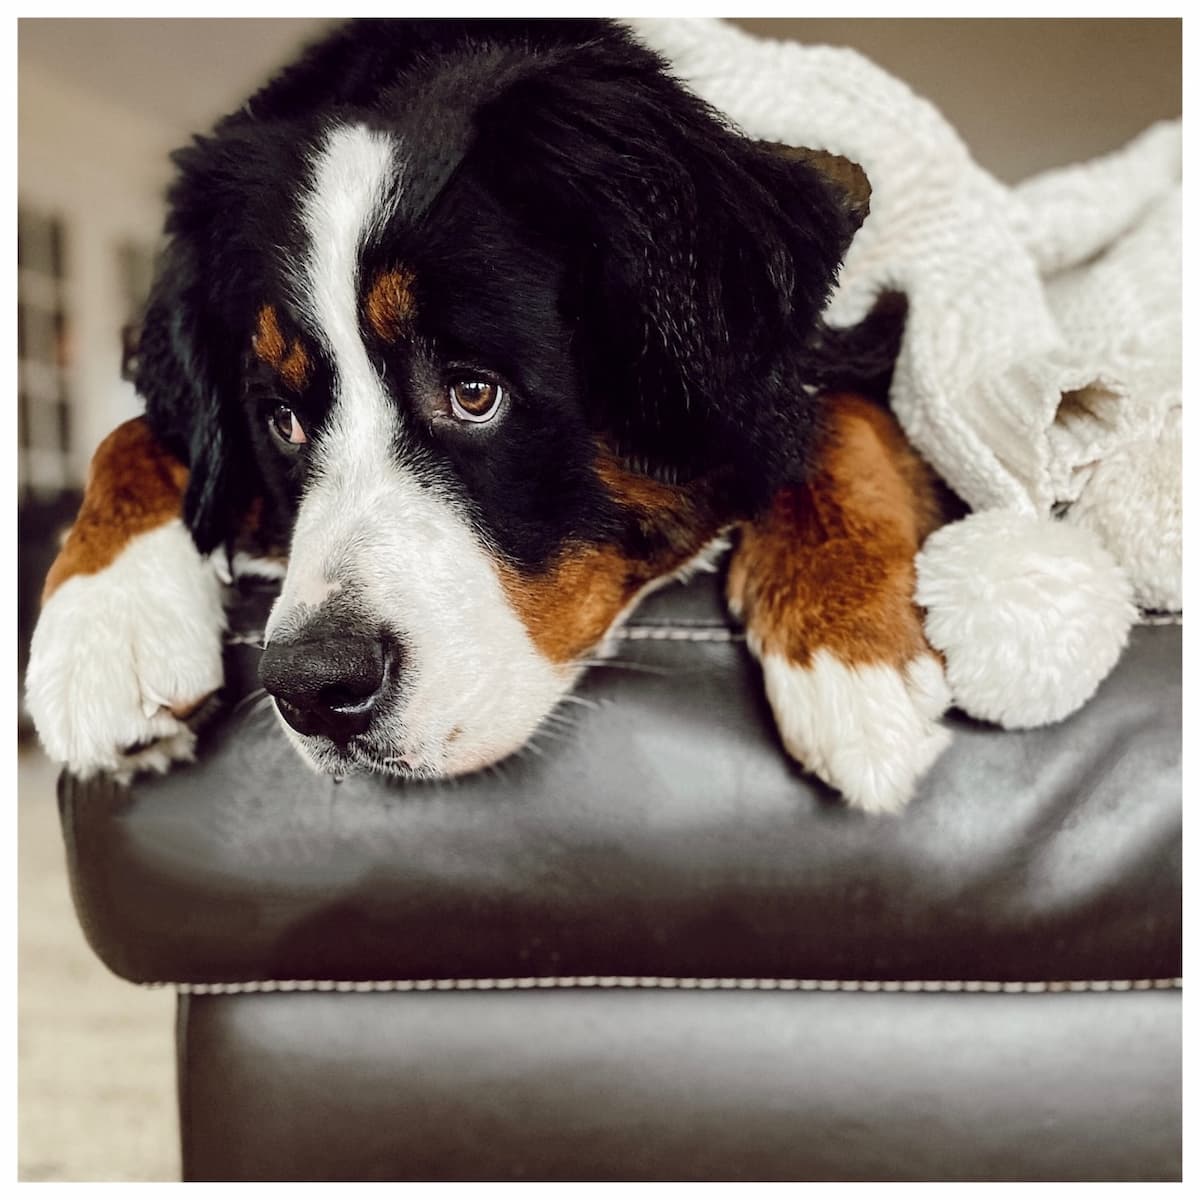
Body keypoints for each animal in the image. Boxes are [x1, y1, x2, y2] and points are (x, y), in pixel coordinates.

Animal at [23, 16, 950, 816]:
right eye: (283, 421)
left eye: (474, 392)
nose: (312, 687)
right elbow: (133, 431)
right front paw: (104, 620)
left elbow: (838, 412)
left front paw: (848, 646)